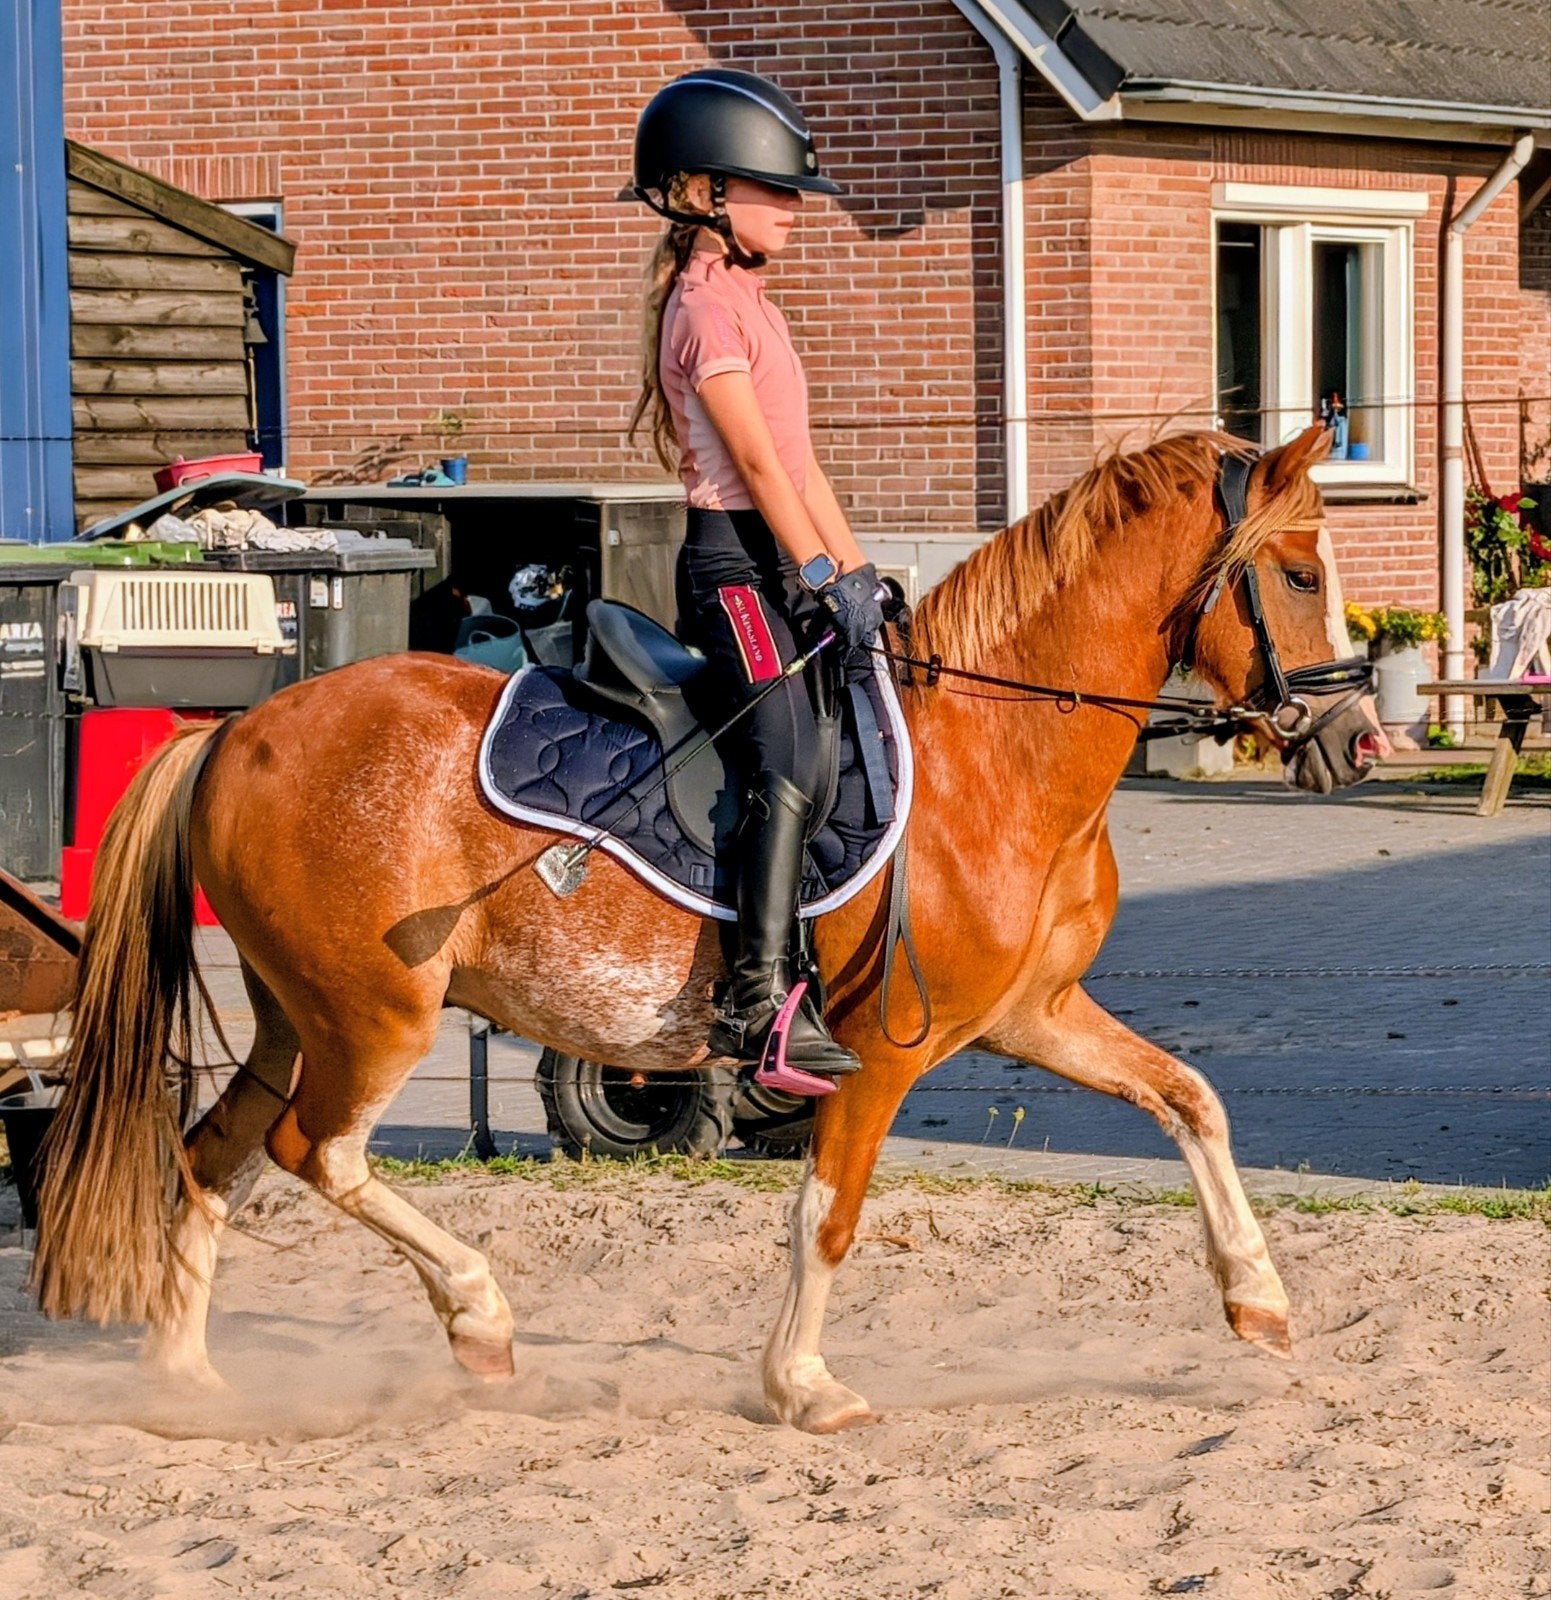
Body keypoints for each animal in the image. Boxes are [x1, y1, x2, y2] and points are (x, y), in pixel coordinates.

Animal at [35, 425, 1386, 1433]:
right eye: (1302, 576)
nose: (1362, 738)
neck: (996, 753)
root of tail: (236, 733)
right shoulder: (879, 1051)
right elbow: (827, 1214)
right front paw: (802, 1385)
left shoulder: (1031, 1015)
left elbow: (1192, 1100)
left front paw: (1259, 1300)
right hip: (376, 1019)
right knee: (318, 1152)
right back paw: (478, 1315)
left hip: (294, 1016)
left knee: (209, 1156)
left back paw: (191, 1383)